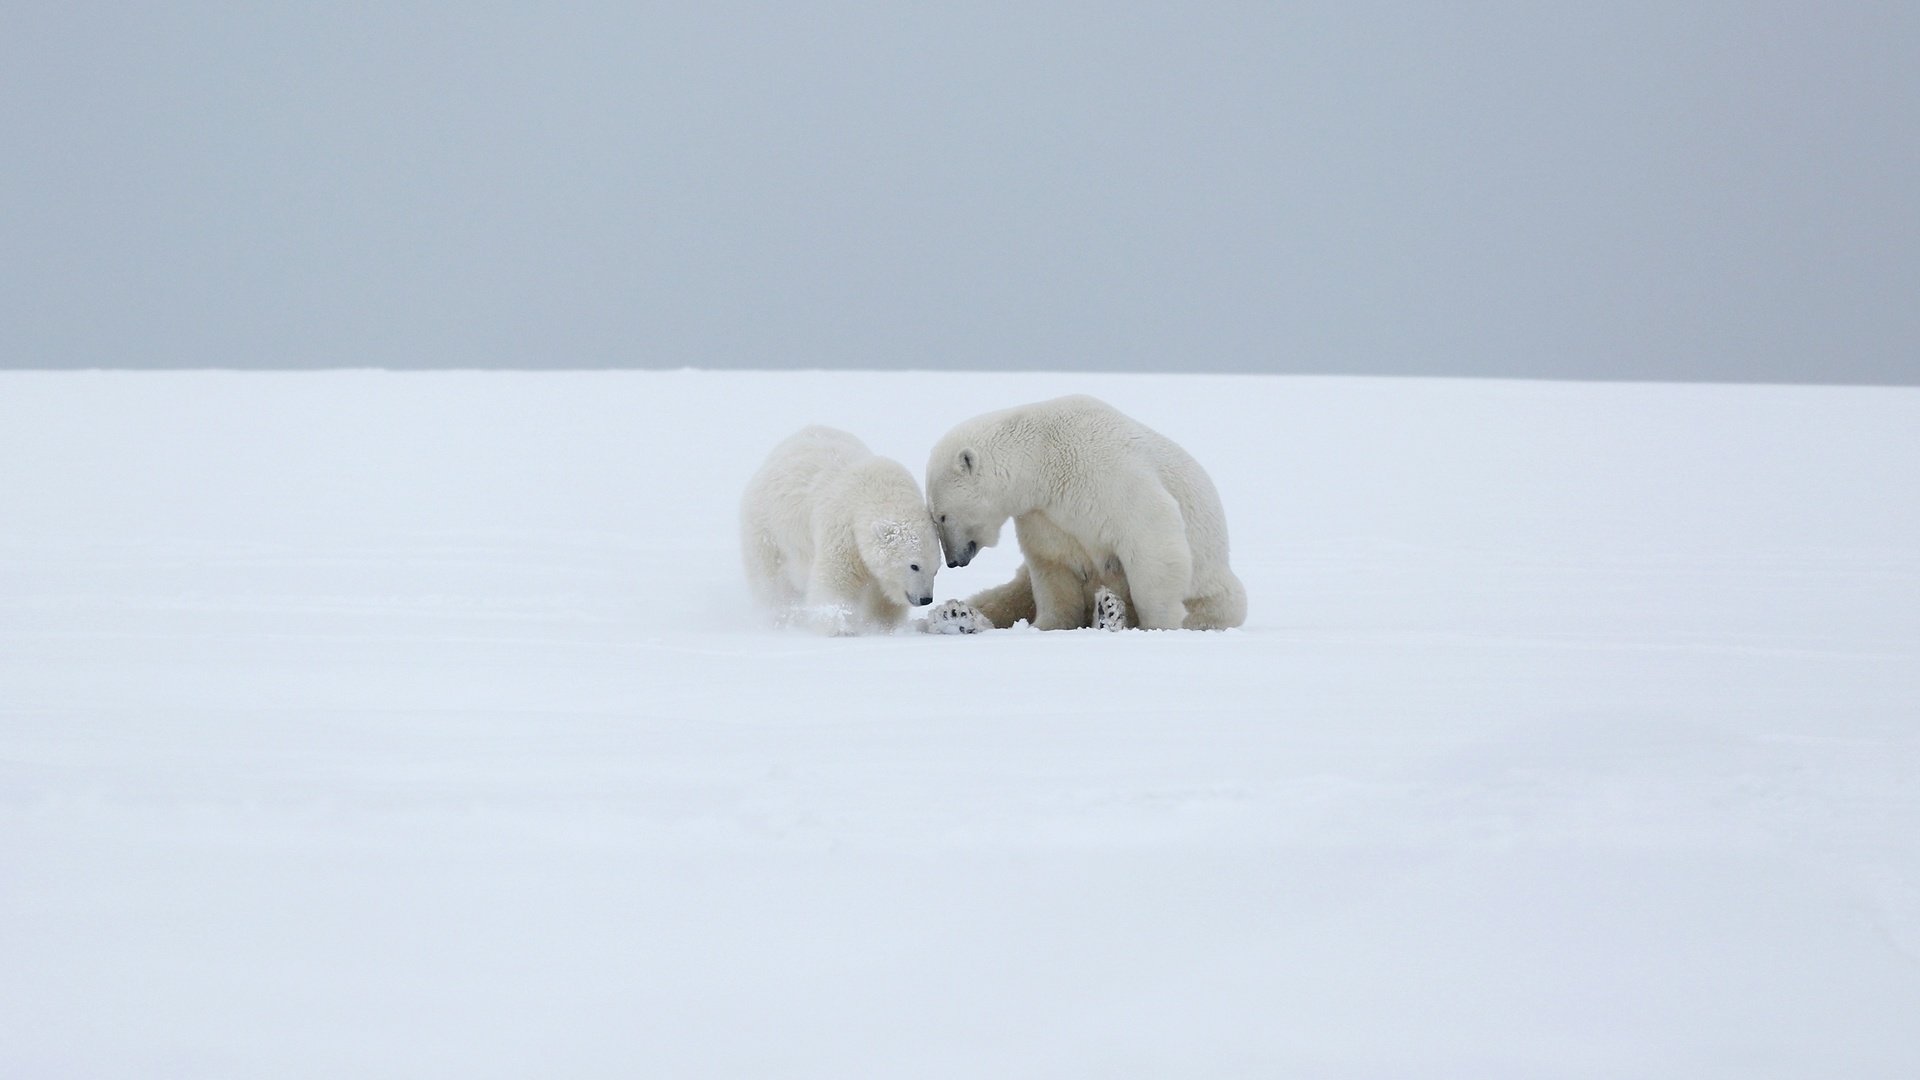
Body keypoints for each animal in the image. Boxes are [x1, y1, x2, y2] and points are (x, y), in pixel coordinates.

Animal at [737, 426, 990, 634]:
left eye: (936, 570)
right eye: (914, 565)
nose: (925, 599)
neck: (880, 492)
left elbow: (882, 596)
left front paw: (883, 625)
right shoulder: (843, 531)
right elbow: (835, 579)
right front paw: (840, 626)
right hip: (767, 527)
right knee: (770, 580)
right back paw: (780, 616)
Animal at [925, 395, 1244, 630]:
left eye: (942, 516)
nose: (953, 561)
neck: (1043, 457)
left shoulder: (1105, 472)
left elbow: (1150, 534)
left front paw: (1160, 625)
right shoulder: (1043, 515)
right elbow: (1053, 568)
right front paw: (1046, 625)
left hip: (1213, 586)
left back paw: (1109, 614)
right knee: (1007, 595)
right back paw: (955, 615)